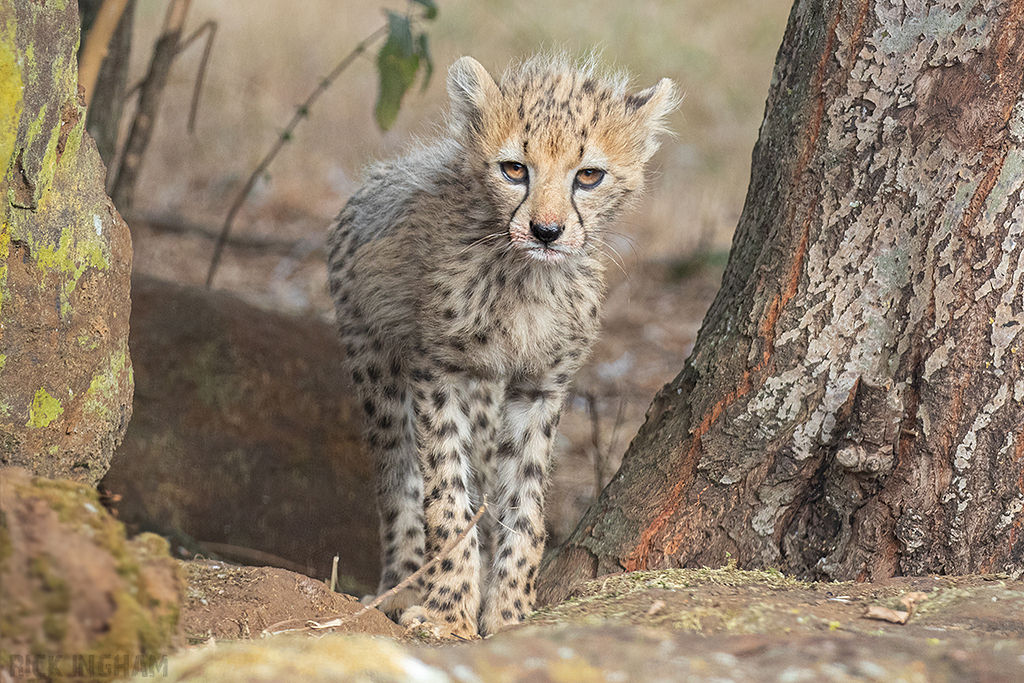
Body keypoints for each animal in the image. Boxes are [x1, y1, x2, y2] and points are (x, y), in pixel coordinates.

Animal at [326, 53, 677, 638]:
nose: (546, 231)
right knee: (400, 477)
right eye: (514, 169)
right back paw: (402, 586)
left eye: (589, 175)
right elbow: (445, 499)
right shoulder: (438, 372)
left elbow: (526, 506)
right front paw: (449, 613)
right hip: (377, 366)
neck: (526, 278)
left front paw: (510, 612)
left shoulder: (540, 387)